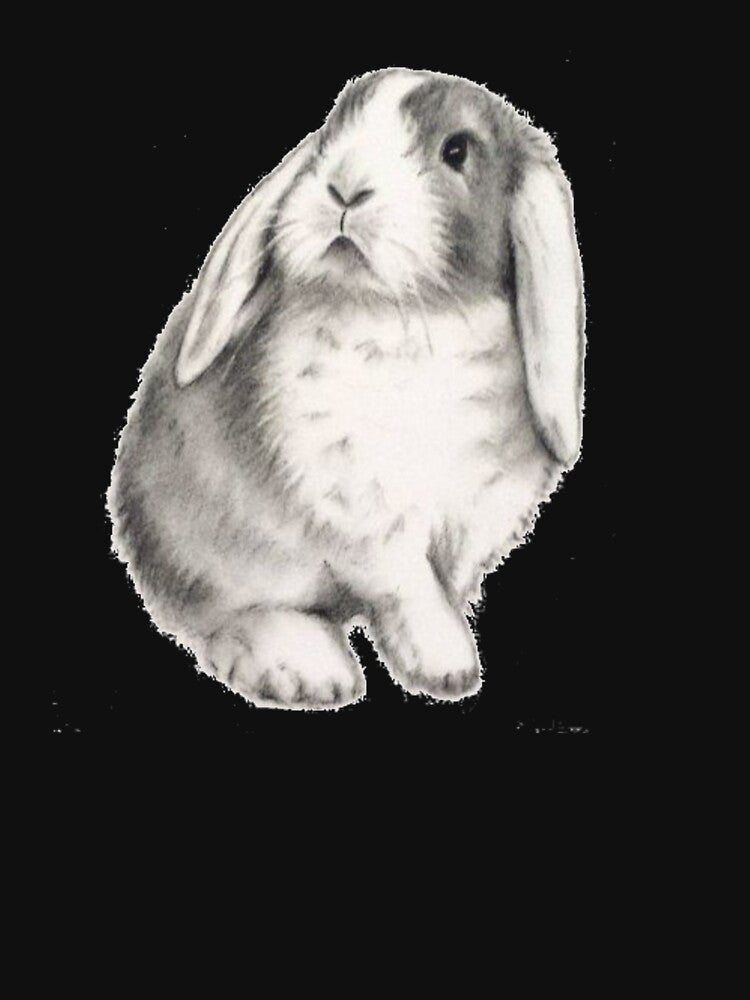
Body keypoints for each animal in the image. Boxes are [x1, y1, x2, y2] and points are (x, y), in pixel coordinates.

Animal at [107, 68, 585, 710]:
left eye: (456, 151)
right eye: (335, 129)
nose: (344, 189)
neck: (407, 314)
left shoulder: (473, 515)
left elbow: (437, 584)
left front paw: (443, 656)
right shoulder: (362, 508)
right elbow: (410, 586)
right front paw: (449, 665)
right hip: (218, 552)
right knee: (229, 613)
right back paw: (306, 670)